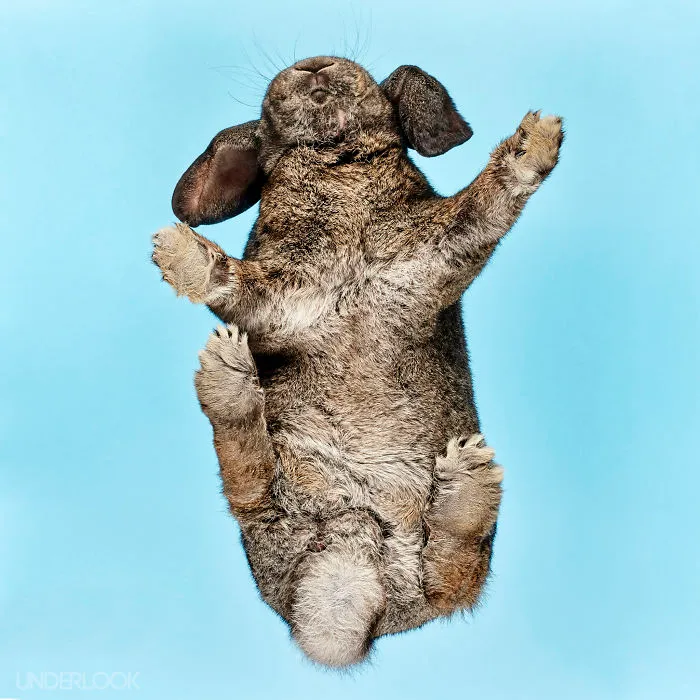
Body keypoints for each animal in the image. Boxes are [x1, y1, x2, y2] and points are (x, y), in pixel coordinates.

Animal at [152, 56, 563, 668]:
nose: (314, 65)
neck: (333, 167)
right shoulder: (278, 297)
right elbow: (233, 283)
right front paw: (181, 253)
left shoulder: (437, 249)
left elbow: (484, 201)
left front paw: (536, 139)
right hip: (283, 494)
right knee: (251, 488)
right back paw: (226, 378)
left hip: (441, 562)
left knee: (451, 578)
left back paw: (468, 485)